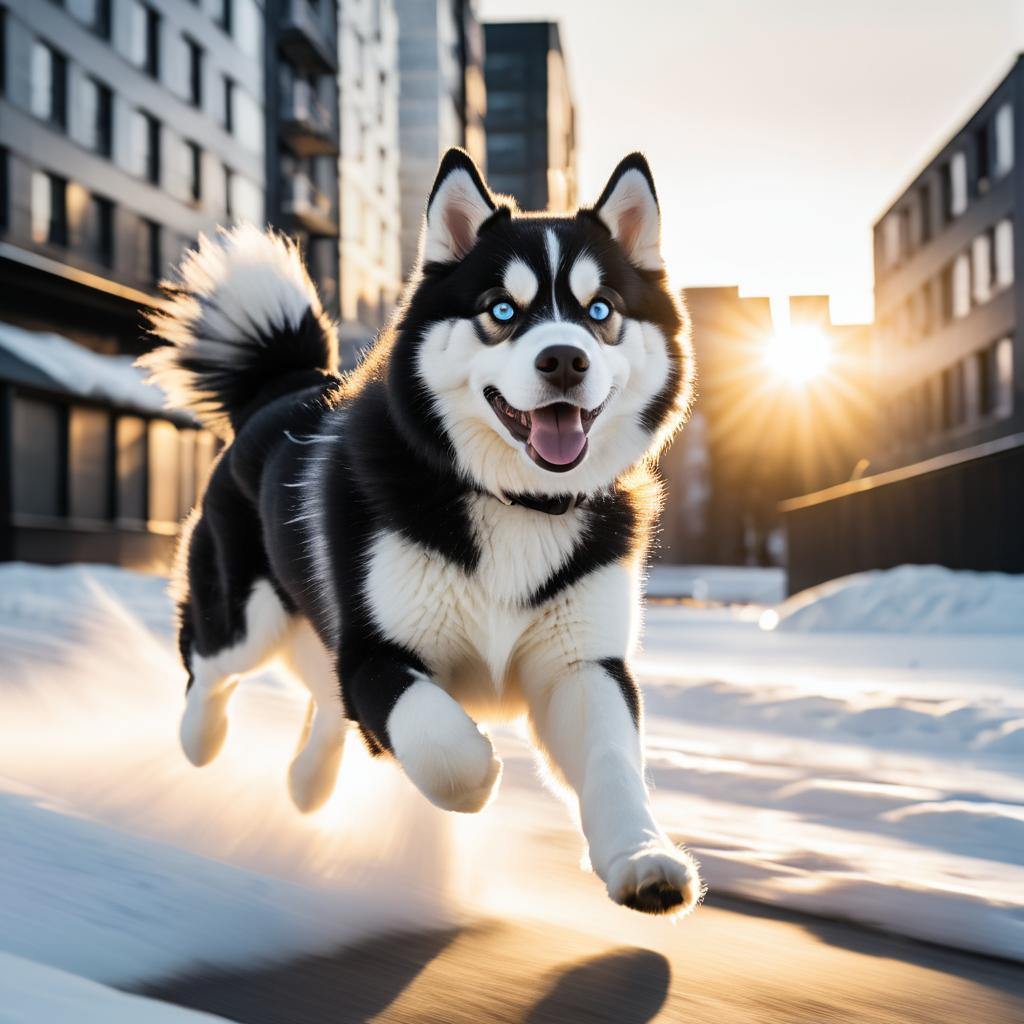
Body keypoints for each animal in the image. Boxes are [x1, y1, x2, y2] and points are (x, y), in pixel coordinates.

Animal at [142, 149, 704, 913]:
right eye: (501, 310)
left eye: (600, 312)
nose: (565, 358)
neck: (516, 502)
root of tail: (287, 383)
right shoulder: (377, 650)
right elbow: (442, 745)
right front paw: (481, 770)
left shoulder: (583, 664)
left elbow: (614, 762)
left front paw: (643, 858)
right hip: (246, 614)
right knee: (210, 664)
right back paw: (200, 736)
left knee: (322, 700)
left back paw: (307, 782)